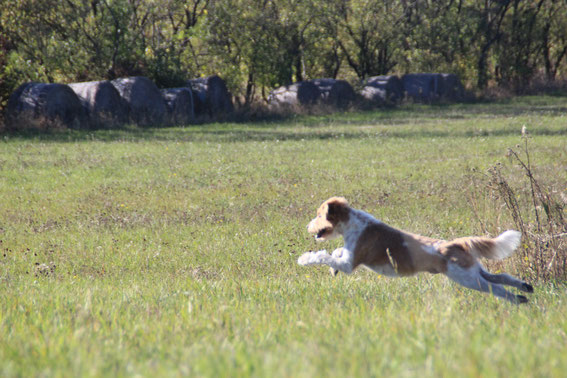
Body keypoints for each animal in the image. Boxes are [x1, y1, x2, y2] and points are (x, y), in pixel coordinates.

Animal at [300, 196, 536, 302]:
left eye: (319, 215)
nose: (308, 226)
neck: (354, 223)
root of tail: (456, 243)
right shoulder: (347, 257)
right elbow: (335, 253)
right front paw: (332, 269)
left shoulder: (350, 264)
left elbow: (324, 256)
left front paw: (304, 259)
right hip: (474, 271)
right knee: (501, 276)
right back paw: (525, 289)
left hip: (467, 278)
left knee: (496, 288)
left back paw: (517, 299)